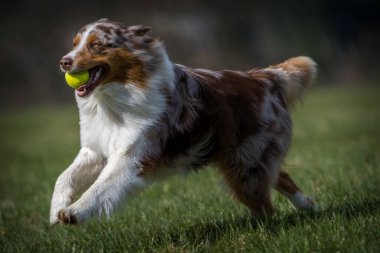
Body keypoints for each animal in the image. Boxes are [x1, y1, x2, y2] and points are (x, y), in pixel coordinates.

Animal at [51, 19, 318, 225]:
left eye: (95, 45)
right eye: (74, 44)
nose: (64, 61)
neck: (111, 101)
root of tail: (264, 77)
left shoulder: (131, 157)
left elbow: (100, 188)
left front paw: (73, 212)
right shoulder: (95, 149)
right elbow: (64, 176)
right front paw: (55, 209)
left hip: (244, 165)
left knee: (265, 205)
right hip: (246, 159)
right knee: (280, 178)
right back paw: (309, 206)